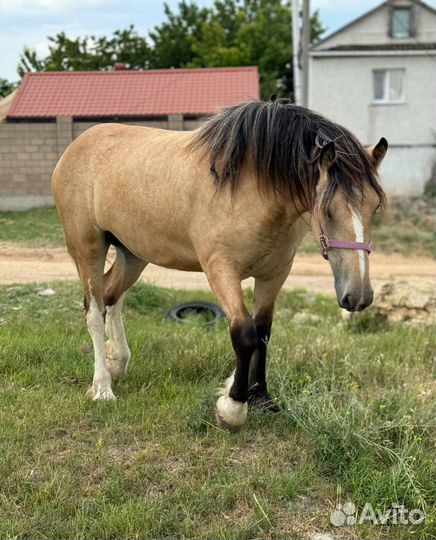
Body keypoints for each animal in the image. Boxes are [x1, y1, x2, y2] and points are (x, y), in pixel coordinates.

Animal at [52, 100, 388, 430]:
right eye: (328, 210)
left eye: (375, 208)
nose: (358, 296)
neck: (252, 188)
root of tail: (75, 147)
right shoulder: (221, 270)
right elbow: (244, 334)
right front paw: (233, 407)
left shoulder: (275, 273)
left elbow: (263, 331)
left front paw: (261, 398)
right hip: (88, 248)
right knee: (94, 310)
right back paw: (102, 387)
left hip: (132, 253)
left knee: (112, 296)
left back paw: (118, 361)